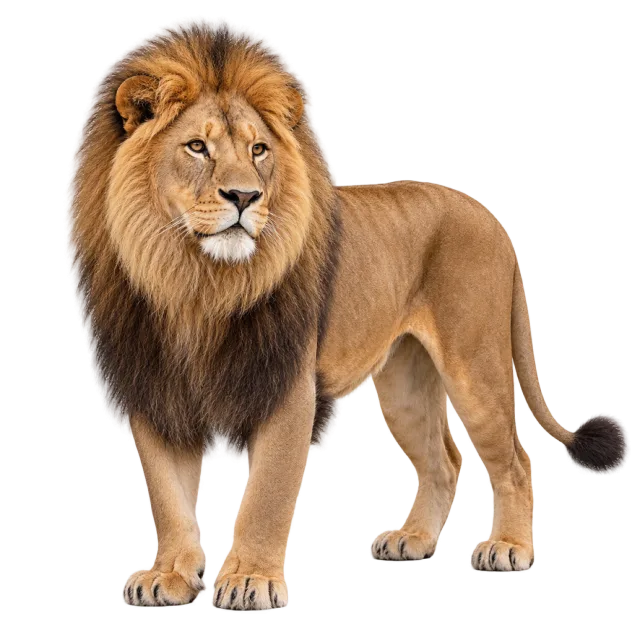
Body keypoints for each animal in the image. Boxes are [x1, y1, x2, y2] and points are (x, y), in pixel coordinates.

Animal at [67, 22, 629, 609]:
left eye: (259, 150)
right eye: (197, 147)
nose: (246, 196)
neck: (196, 284)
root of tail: (489, 215)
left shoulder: (289, 387)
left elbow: (267, 494)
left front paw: (249, 579)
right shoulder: (155, 388)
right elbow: (168, 496)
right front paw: (169, 575)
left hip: (476, 365)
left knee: (517, 461)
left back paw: (509, 548)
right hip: (405, 383)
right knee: (445, 462)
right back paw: (411, 540)